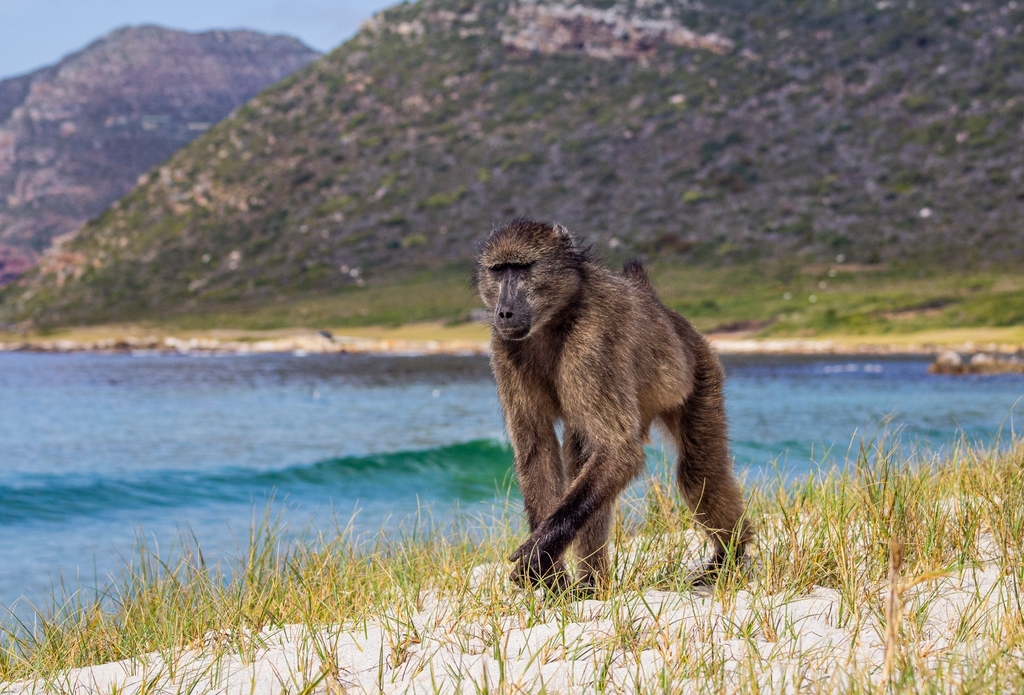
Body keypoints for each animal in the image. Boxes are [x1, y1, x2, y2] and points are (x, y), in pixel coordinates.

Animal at [475, 219, 750, 590]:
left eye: (523, 268)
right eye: (498, 270)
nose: (504, 312)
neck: (556, 316)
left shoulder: (593, 340)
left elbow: (619, 450)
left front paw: (538, 555)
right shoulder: (505, 348)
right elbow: (537, 448)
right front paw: (552, 576)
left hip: (701, 374)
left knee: (698, 473)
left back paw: (730, 556)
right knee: (583, 455)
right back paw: (593, 583)